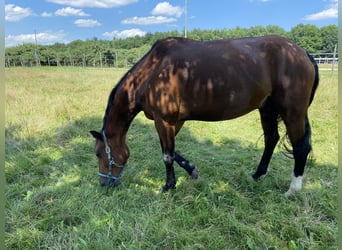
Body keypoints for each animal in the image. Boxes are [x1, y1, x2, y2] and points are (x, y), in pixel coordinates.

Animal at [89, 35, 320, 196]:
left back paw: (293, 190)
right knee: (271, 140)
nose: (104, 184)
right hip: (267, 109)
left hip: (293, 112)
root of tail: (302, 53)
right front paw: (192, 171)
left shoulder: (164, 121)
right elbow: (171, 151)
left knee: (300, 147)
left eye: (99, 154)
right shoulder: (174, 122)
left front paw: (168, 186)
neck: (153, 72)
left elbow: (167, 155)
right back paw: (256, 176)